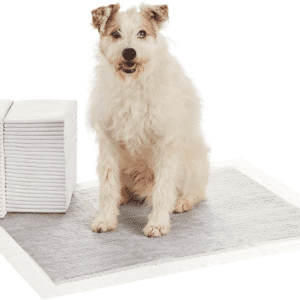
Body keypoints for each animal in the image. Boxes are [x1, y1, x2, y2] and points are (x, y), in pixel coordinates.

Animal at [88, 2, 209, 237]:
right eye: (115, 33)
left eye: (142, 33)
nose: (129, 52)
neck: (132, 84)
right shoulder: (108, 141)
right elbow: (107, 185)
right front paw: (106, 219)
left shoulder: (166, 143)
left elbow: (163, 187)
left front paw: (158, 223)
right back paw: (123, 196)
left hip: (193, 162)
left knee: (198, 191)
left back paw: (182, 201)